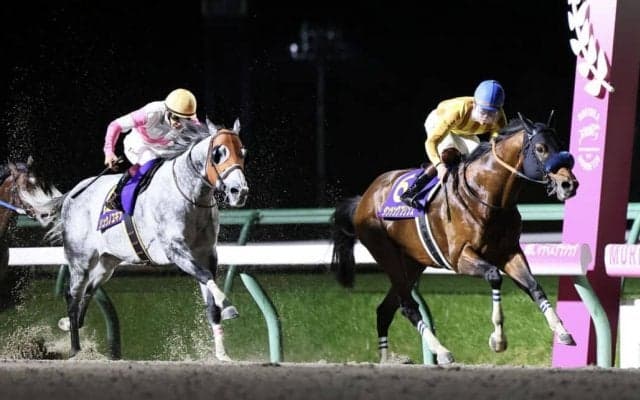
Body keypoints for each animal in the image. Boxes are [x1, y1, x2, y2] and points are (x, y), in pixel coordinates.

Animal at [19, 119, 249, 360]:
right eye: (218, 153)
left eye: (243, 153)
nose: (239, 191)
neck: (190, 195)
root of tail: (71, 194)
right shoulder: (175, 250)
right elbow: (205, 277)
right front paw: (227, 304)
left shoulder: (207, 253)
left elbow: (210, 299)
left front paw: (222, 354)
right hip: (80, 259)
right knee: (73, 296)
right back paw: (75, 348)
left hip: (107, 263)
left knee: (88, 291)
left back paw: (72, 327)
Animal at [331, 115, 579, 364]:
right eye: (541, 148)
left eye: (560, 145)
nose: (569, 184)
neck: (485, 196)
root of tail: (364, 198)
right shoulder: (459, 257)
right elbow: (494, 276)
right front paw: (498, 340)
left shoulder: (508, 252)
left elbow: (533, 286)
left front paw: (562, 331)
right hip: (387, 256)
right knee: (408, 306)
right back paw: (440, 351)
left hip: (412, 263)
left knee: (386, 309)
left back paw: (387, 359)